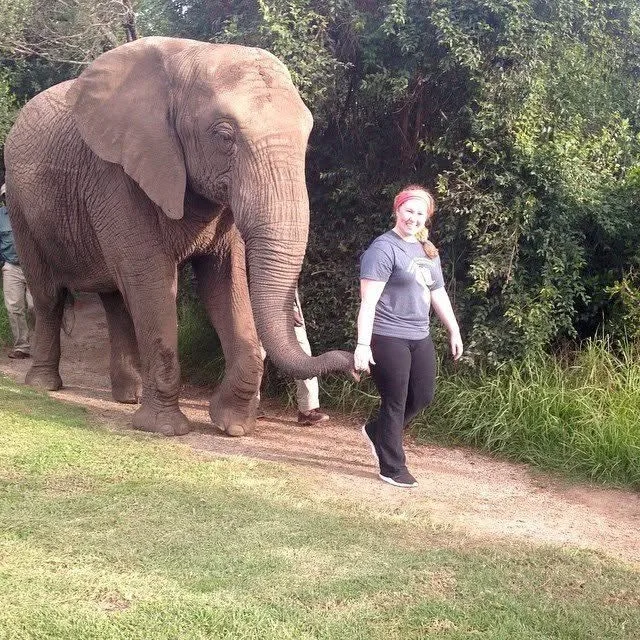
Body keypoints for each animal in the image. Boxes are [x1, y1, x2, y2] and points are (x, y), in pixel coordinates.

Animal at [3, 36, 353, 437]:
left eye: (307, 139)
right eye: (224, 136)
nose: (356, 365)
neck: (192, 57)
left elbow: (225, 281)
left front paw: (233, 427)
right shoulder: (117, 173)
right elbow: (151, 279)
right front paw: (165, 429)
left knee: (115, 298)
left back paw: (128, 396)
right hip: (20, 205)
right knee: (49, 294)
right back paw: (44, 385)